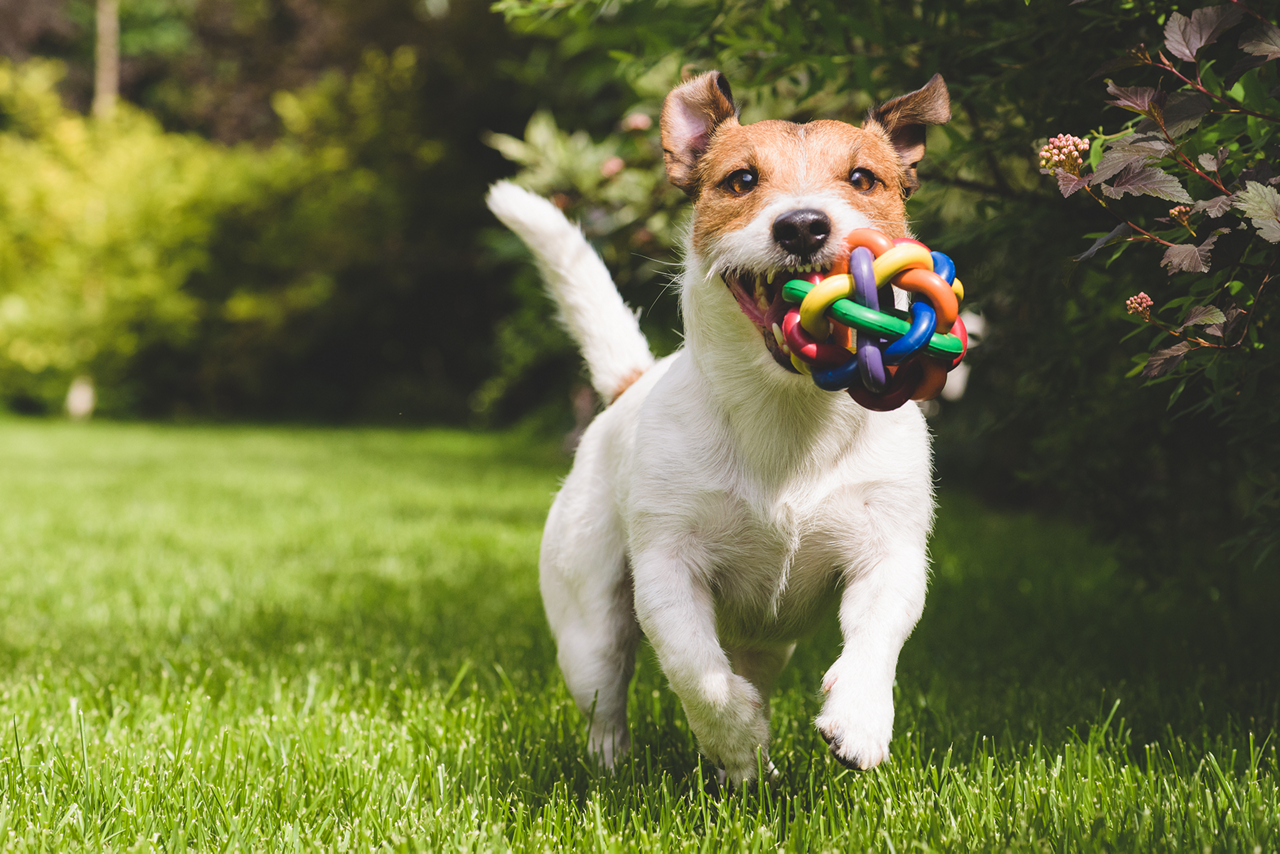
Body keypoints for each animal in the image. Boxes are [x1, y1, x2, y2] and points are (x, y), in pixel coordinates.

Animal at [486, 70, 952, 783]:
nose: (803, 225)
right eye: (741, 180)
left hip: (770, 640)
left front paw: (860, 719)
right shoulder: (666, 568)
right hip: (589, 622)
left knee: (753, 667)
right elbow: (694, 669)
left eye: (863, 178)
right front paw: (734, 736)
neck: (786, 412)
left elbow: (877, 635)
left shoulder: (889, 551)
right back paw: (627, 763)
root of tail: (630, 384)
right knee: (607, 695)